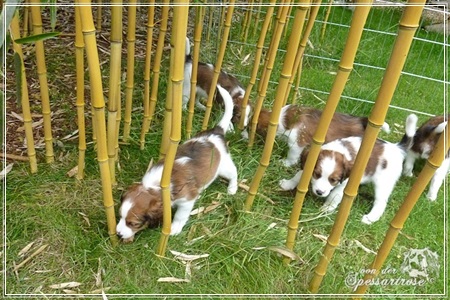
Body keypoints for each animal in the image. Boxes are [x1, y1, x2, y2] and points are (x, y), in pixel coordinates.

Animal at [117, 84, 239, 241]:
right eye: (120, 217)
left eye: (133, 223)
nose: (118, 234)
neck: (156, 186)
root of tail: (216, 133)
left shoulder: (186, 200)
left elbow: (180, 215)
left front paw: (174, 228)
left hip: (223, 166)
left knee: (234, 173)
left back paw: (232, 188)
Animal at [280, 113, 416, 224]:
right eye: (317, 174)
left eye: (333, 180)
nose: (319, 192)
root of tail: (397, 148)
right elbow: (299, 175)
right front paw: (287, 184)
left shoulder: (344, 184)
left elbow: (334, 195)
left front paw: (327, 208)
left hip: (383, 183)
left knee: (380, 202)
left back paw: (370, 218)